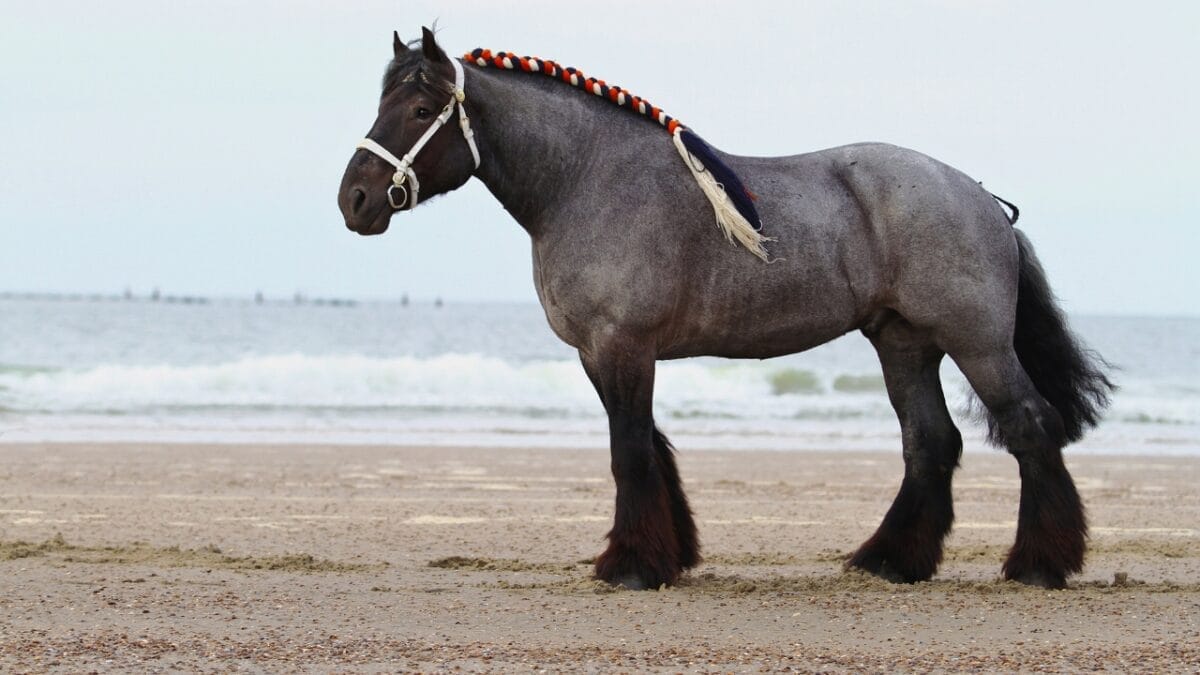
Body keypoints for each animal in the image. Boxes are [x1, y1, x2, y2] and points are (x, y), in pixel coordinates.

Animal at [337, 28, 1113, 590]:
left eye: (418, 110)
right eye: (379, 106)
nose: (356, 200)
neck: (587, 178)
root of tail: (981, 197)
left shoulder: (623, 346)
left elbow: (629, 451)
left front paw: (631, 566)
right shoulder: (599, 354)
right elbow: (650, 446)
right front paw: (667, 555)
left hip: (977, 342)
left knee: (1031, 426)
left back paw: (1039, 565)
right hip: (904, 345)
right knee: (930, 442)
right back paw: (891, 561)